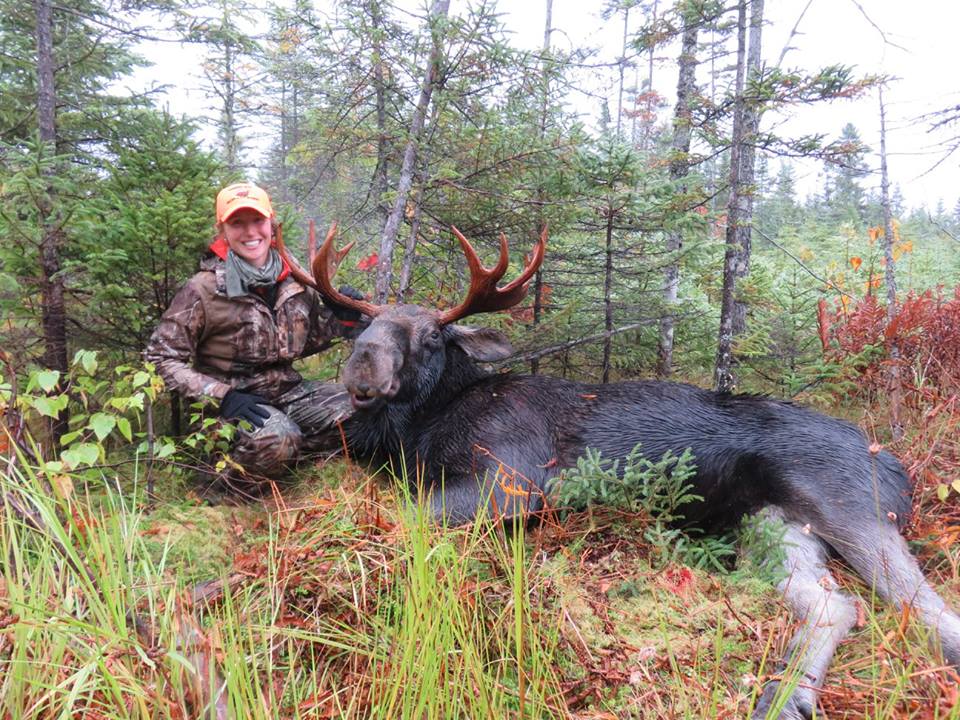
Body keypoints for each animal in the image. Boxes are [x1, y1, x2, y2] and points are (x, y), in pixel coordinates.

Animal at [278, 222, 960, 720]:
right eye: (365, 326)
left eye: (429, 338)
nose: (362, 364)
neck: (421, 430)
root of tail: (894, 462)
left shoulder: (509, 480)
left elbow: (400, 517)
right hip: (771, 527)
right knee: (835, 607)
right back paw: (782, 697)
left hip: (850, 507)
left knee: (928, 613)